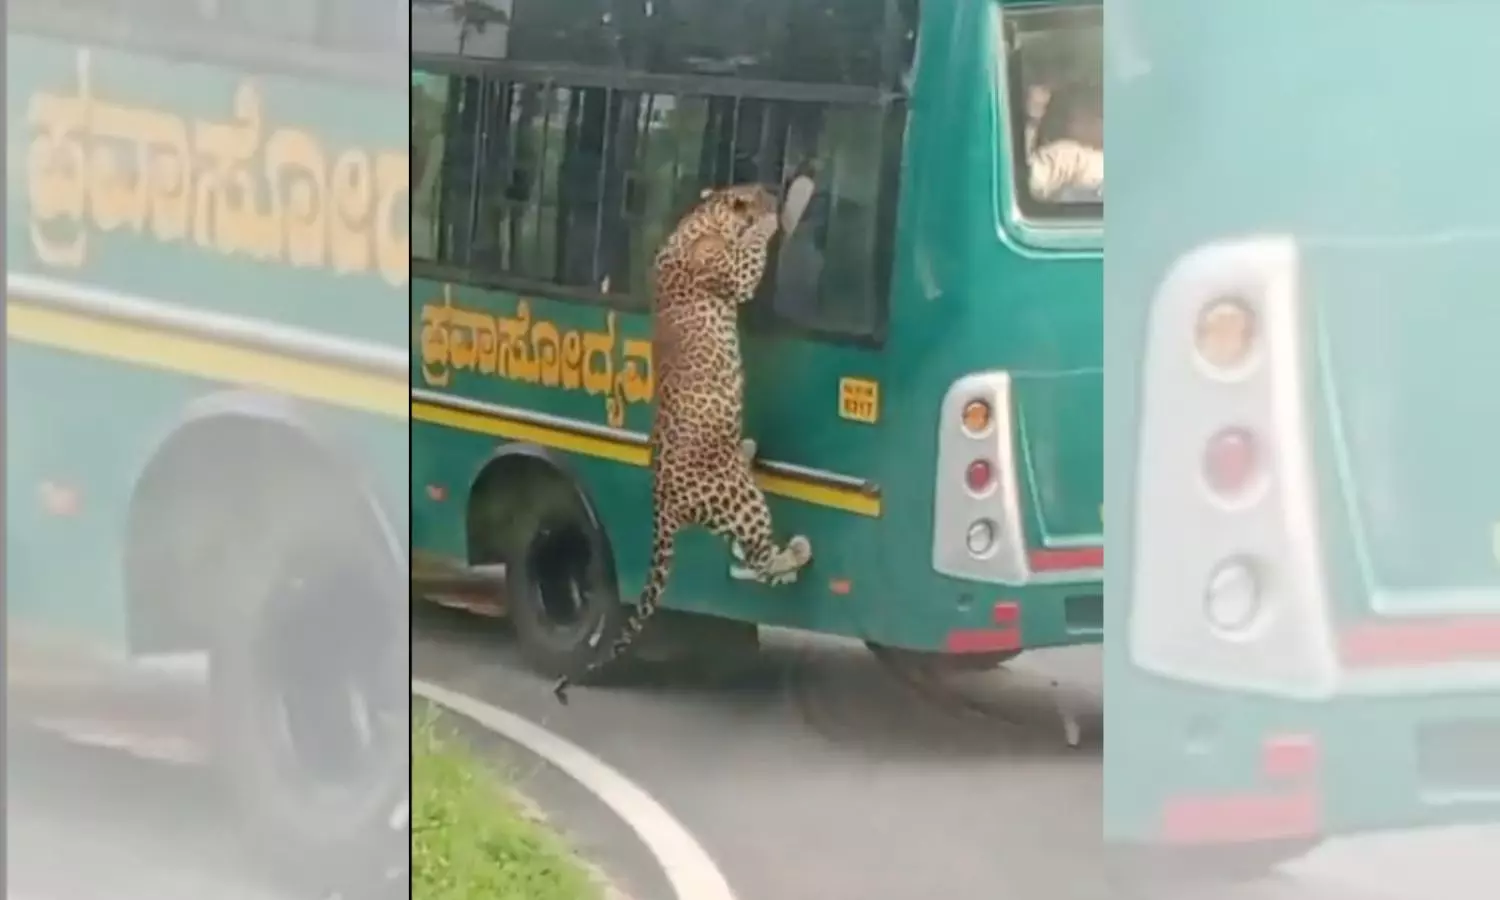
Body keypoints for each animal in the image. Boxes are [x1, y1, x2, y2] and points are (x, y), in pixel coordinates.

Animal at [549, 183, 810, 702]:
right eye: (759, 190)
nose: (774, 189)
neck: (700, 220)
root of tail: (663, 502)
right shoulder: (732, 274)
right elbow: (750, 256)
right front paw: (769, 220)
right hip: (742, 499)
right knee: (758, 559)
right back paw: (797, 551)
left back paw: (749, 453)